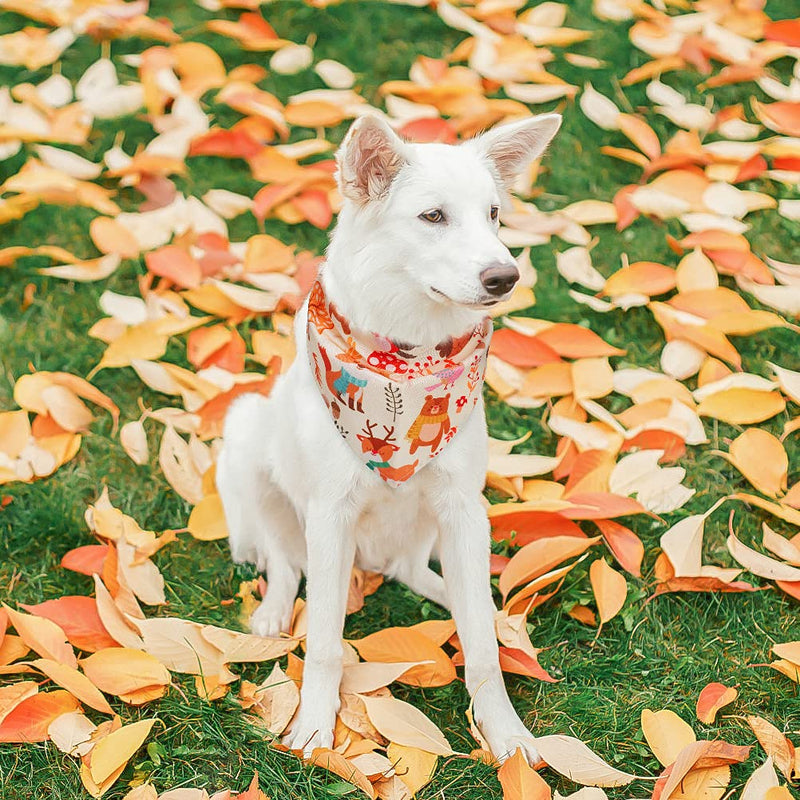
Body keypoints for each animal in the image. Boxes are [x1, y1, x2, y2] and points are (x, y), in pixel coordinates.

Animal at [216, 111, 560, 764]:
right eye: (433, 216)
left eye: (494, 212)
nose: (505, 276)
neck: (407, 355)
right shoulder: (330, 514)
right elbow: (324, 641)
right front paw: (315, 728)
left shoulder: (463, 508)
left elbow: (481, 652)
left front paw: (506, 734)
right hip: (246, 434)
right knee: (283, 559)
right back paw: (273, 612)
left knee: (426, 577)